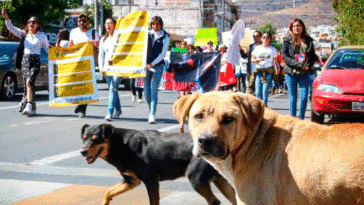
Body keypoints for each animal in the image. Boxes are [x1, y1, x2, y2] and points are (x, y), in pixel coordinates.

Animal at [79, 123, 236, 205]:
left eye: (96, 139)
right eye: (84, 138)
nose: (82, 151)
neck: (120, 145)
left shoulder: (151, 180)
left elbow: (153, 202)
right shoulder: (131, 181)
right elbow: (108, 192)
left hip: (196, 178)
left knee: (215, 201)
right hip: (220, 180)